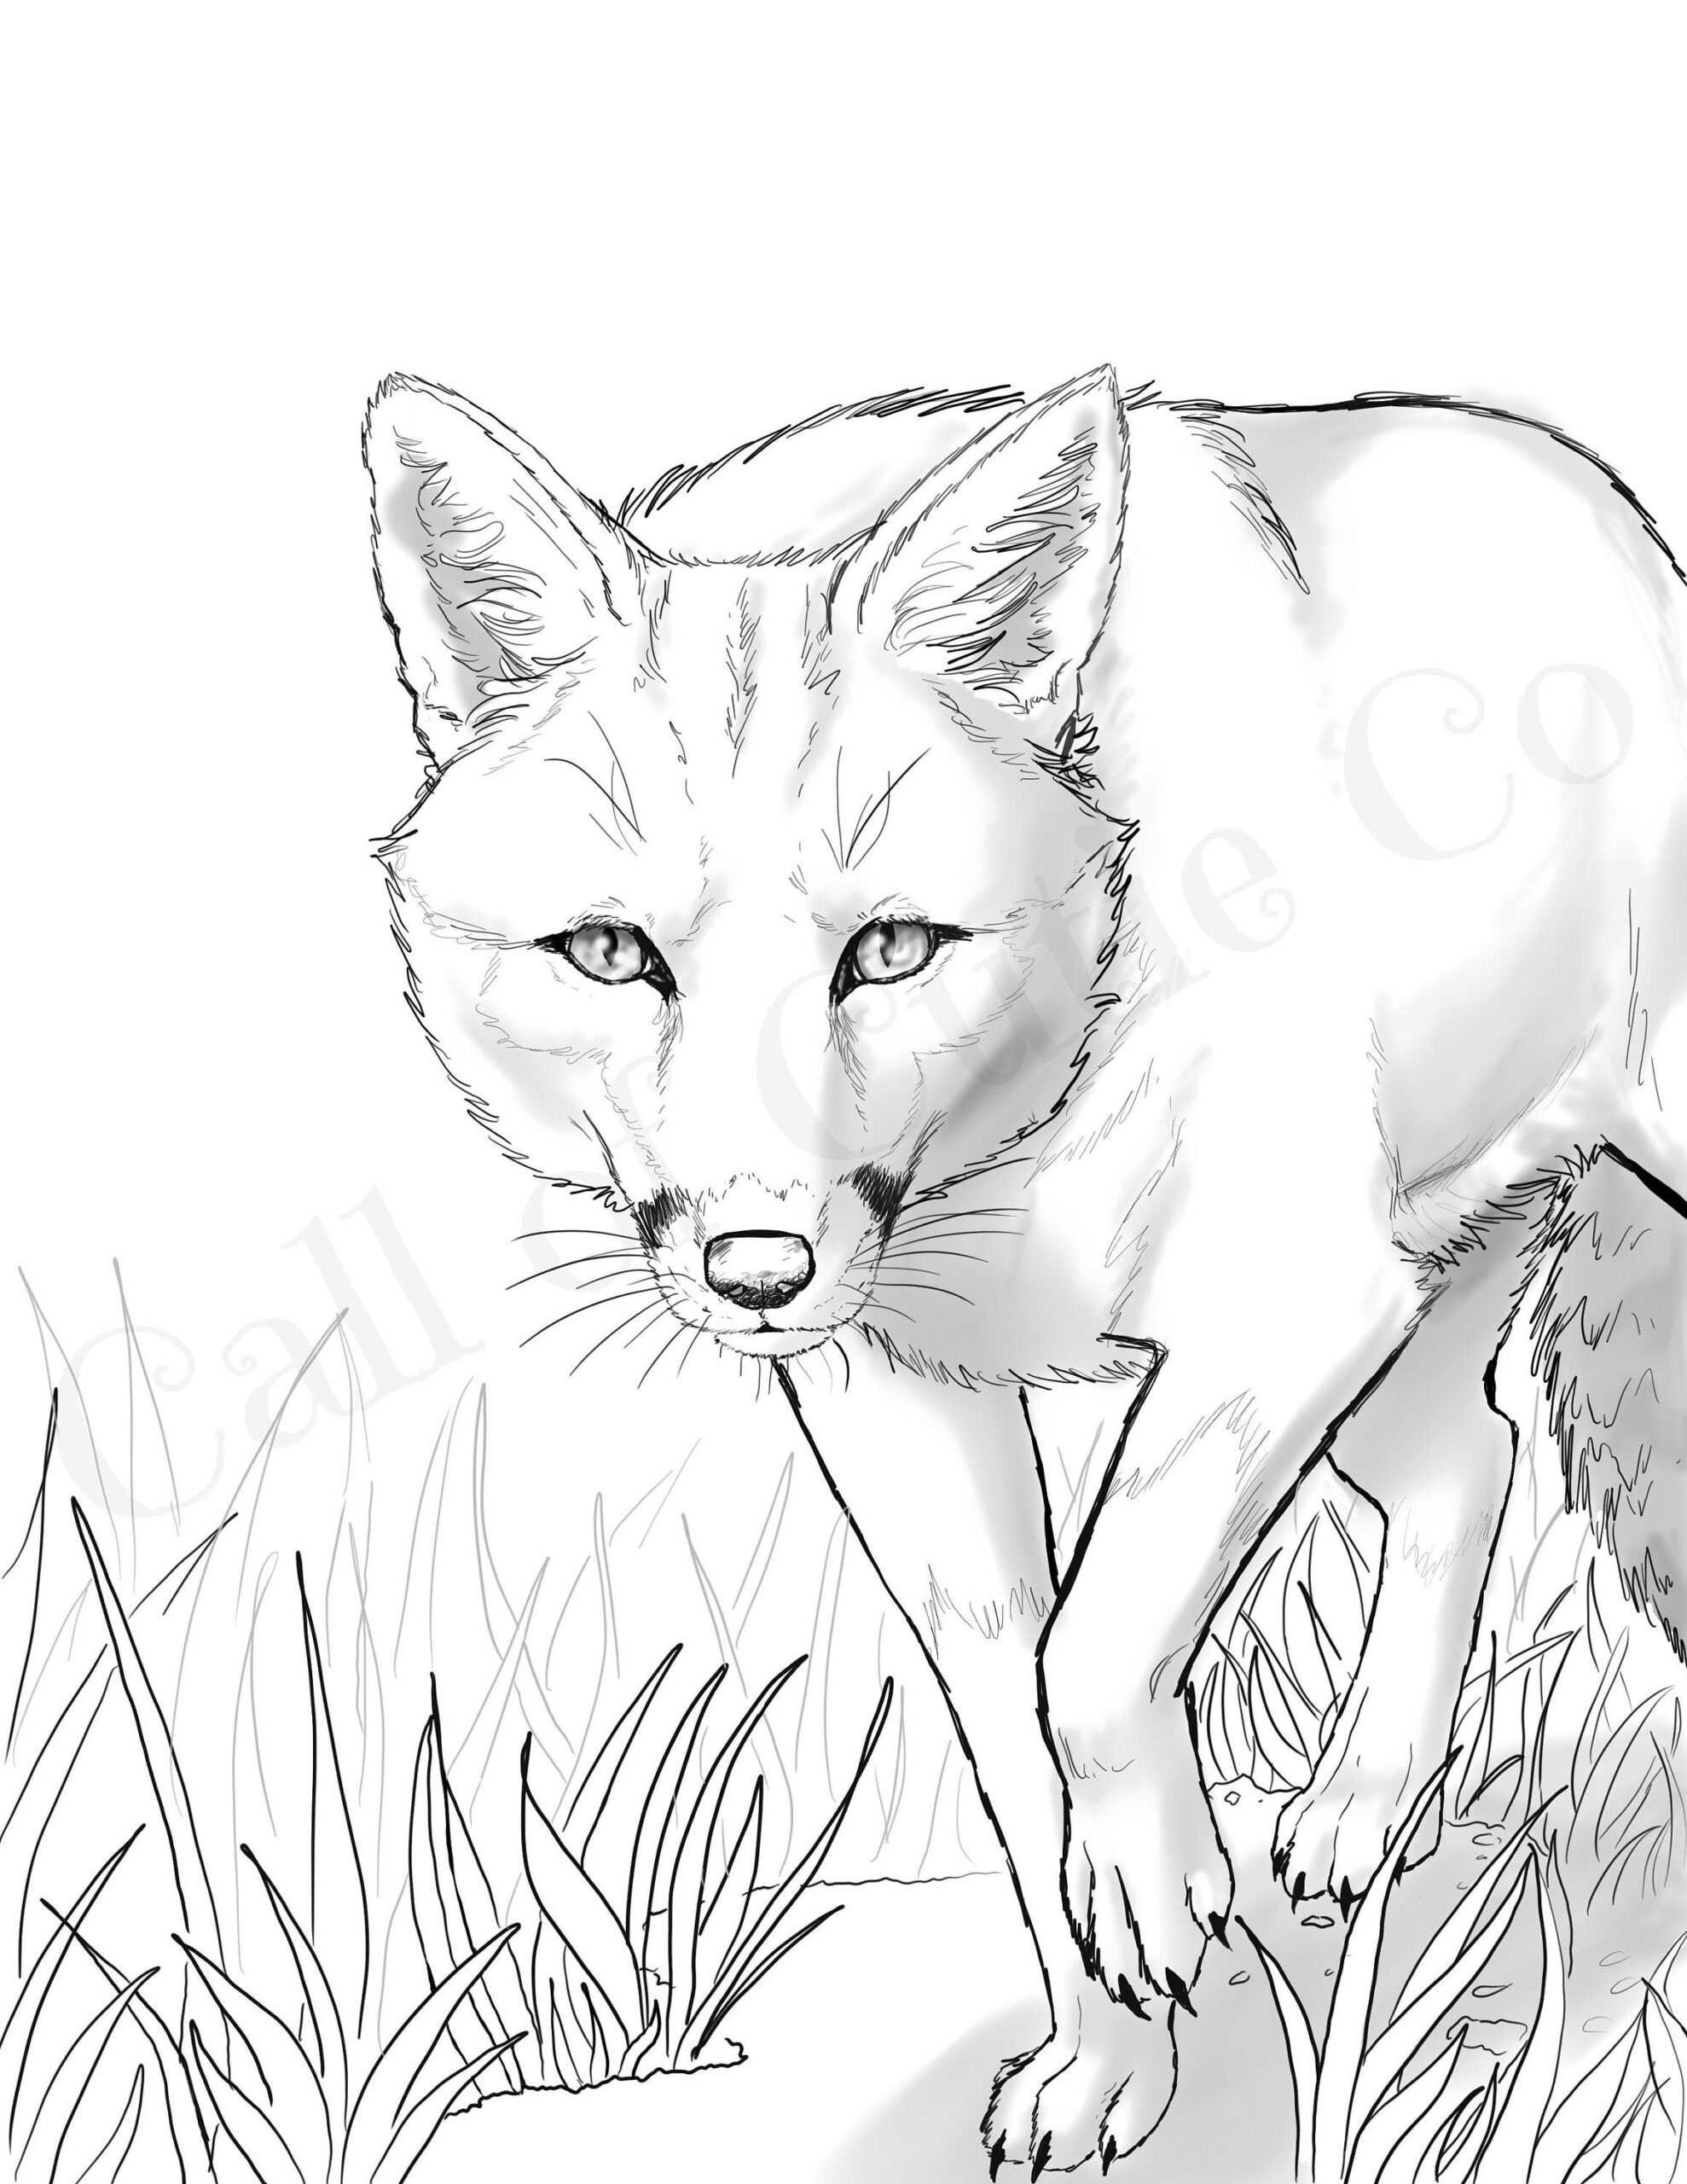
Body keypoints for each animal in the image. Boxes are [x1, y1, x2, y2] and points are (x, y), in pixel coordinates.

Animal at [362, 366, 1687, 2172]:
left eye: (891, 948)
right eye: (614, 956)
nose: (757, 1269)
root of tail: (1594, 500)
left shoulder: (1272, 1324)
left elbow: (1094, 1668)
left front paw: (1155, 1898)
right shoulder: (894, 1402)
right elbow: (1012, 1738)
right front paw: (1107, 2066)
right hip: (1396, 1333)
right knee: (1468, 1465)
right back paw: (1361, 1806)